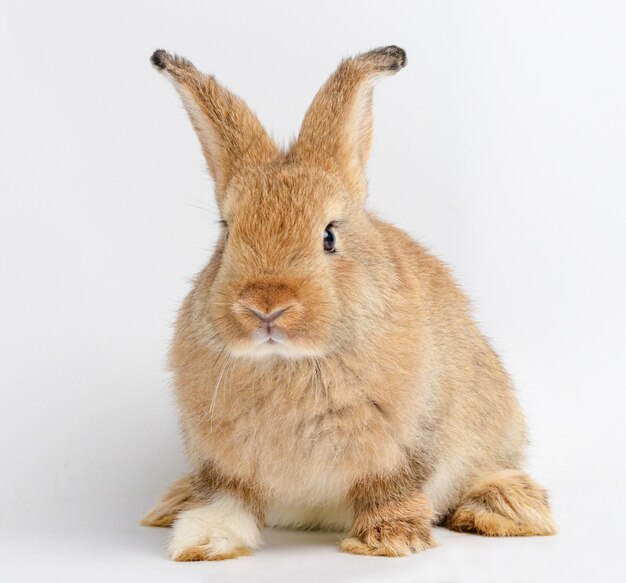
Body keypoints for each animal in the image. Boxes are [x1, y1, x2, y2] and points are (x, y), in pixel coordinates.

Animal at [143, 46, 556, 560]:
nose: (265, 307)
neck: (290, 362)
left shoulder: (404, 448)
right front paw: (201, 543)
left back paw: (502, 510)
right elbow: (227, 499)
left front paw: (389, 541)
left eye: (329, 236)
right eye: (227, 232)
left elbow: (392, 490)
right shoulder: (224, 463)